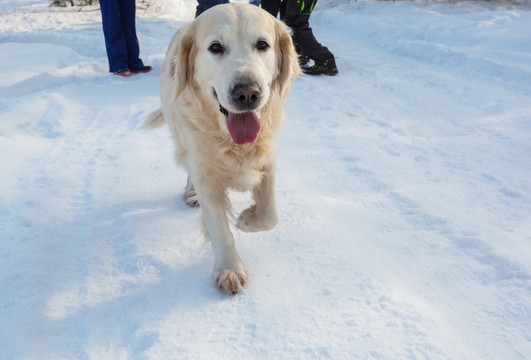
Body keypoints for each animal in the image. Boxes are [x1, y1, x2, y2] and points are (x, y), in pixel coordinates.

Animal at [145, 4, 302, 294]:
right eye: (215, 47)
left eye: (262, 44)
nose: (247, 93)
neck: (231, 141)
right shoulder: (205, 173)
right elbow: (219, 228)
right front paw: (230, 269)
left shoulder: (266, 160)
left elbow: (270, 215)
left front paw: (247, 220)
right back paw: (190, 193)